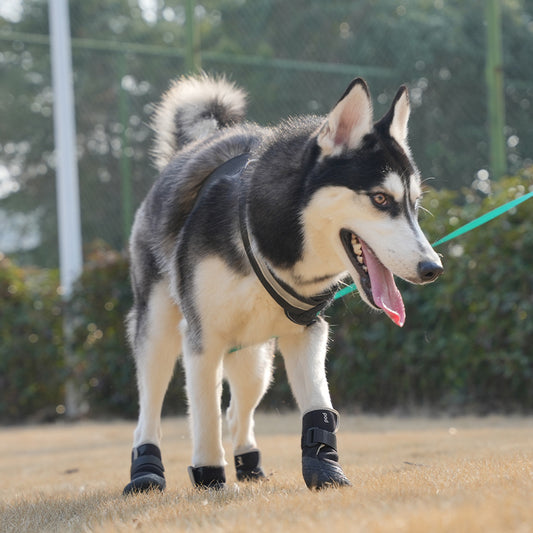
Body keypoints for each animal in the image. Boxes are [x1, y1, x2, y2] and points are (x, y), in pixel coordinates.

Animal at [122, 72, 442, 492]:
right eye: (380, 199)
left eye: (414, 205)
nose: (433, 267)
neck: (277, 241)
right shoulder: (202, 341)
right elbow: (204, 417)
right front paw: (209, 477)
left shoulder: (308, 332)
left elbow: (318, 405)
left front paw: (325, 469)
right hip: (159, 330)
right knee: (151, 406)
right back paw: (146, 470)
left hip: (255, 358)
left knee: (237, 410)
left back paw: (249, 463)